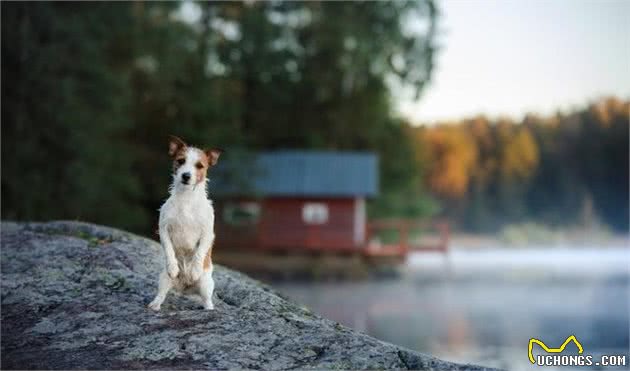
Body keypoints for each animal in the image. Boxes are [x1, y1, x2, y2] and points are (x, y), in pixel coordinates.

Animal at [149, 136, 223, 310]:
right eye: (181, 161)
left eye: (200, 166)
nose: (186, 175)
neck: (187, 198)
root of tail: (185, 288)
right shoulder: (163, 229)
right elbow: (169, 250)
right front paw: (173, 267)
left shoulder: (207, 233)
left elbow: (199, 252)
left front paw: (195, 270)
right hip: (163, 279)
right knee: (161, 294)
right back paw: (155, 305)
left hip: (206, 284)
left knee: (207, 300)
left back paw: (209, 308)